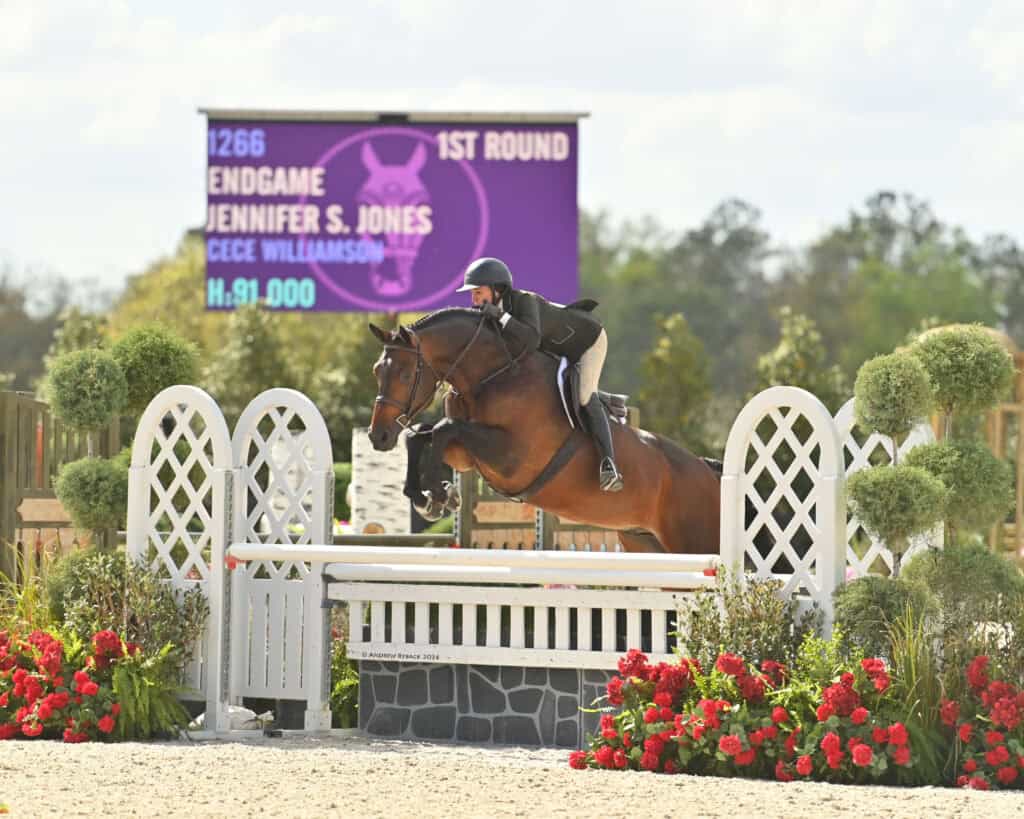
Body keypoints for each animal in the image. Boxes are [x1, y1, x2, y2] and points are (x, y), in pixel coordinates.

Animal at [368, 308, 721, 555]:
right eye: (376, 371)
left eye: (404, 373)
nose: (378, 436)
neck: (492, 377)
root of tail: (708, 470)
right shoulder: (467, 456)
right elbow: (422, 434)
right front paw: (425, 498)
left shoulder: (511, 458)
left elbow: (443, 429)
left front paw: (439, 495)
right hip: (644, 542)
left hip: (696, 543)